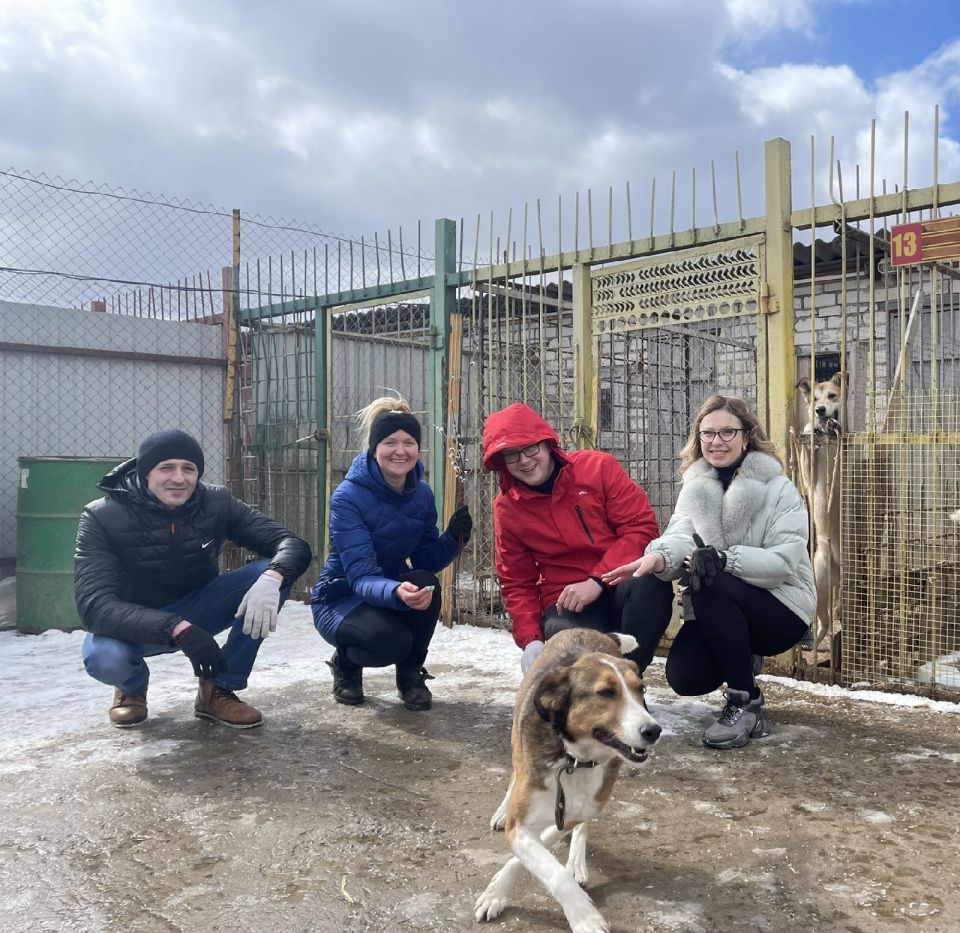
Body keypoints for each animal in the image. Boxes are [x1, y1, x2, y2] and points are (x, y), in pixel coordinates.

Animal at [472, 628, 660, 932]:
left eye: (640, 690)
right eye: (606, 692)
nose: (654, 731)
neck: (574, 759)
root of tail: (591, 630)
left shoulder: (569, 815)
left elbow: (542, 854)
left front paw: (497, 890)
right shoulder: (519, 826)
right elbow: (551, 869)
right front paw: (585, 918)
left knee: (584, 826)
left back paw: (576, 862)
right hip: (517, 747)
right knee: (515, 773)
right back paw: (502, 810)